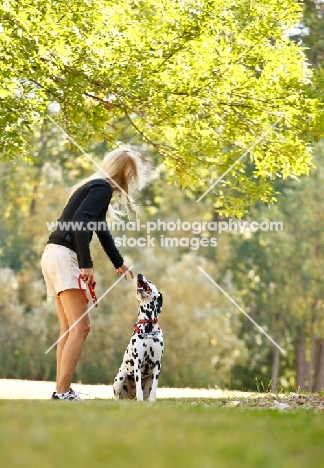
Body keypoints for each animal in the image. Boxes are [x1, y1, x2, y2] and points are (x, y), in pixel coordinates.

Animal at [113, 274, 165, 402]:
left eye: (150, 281)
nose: (139, 275)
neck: (148, 327)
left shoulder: (157, 364)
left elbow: (155, 388)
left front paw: (152, 401)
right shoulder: (138, 362)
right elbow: (138, 385)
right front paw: (140, 399)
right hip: (120, 377)